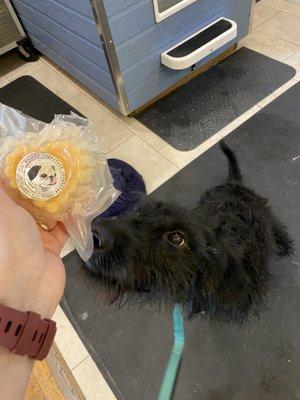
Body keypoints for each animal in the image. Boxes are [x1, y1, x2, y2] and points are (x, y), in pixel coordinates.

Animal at [86, 143, 292, 322]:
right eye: (138, 212)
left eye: (177, 238)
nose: (95, 235)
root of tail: (233, 184)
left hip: (263, 212)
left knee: (274, 223)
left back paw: (283, 242)